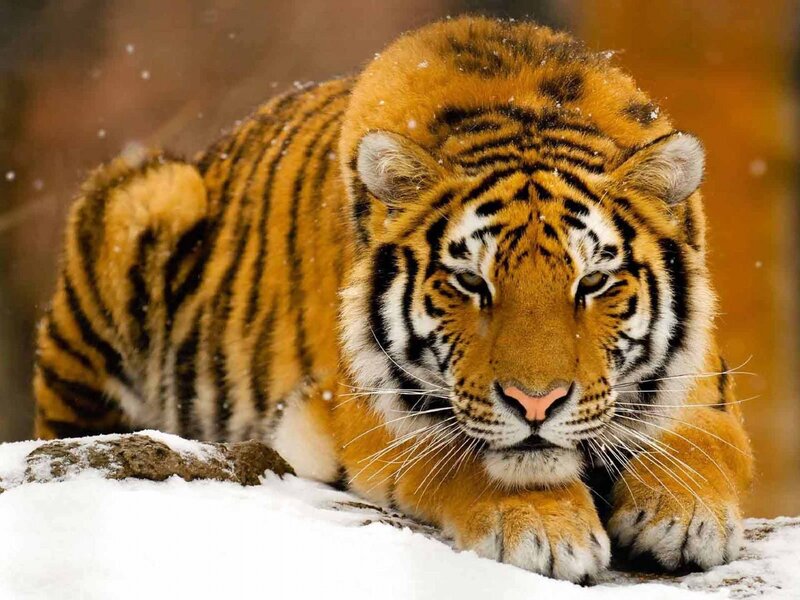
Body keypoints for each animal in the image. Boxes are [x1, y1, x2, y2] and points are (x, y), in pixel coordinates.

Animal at [32, 16, 753, 581]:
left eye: (592, 282)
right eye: (471, 282)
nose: (536, 404)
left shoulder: (702, 384)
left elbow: (703, 442)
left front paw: (685, 517)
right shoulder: (368, 409)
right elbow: (469, 455)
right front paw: (545, 529)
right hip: (146, 199)